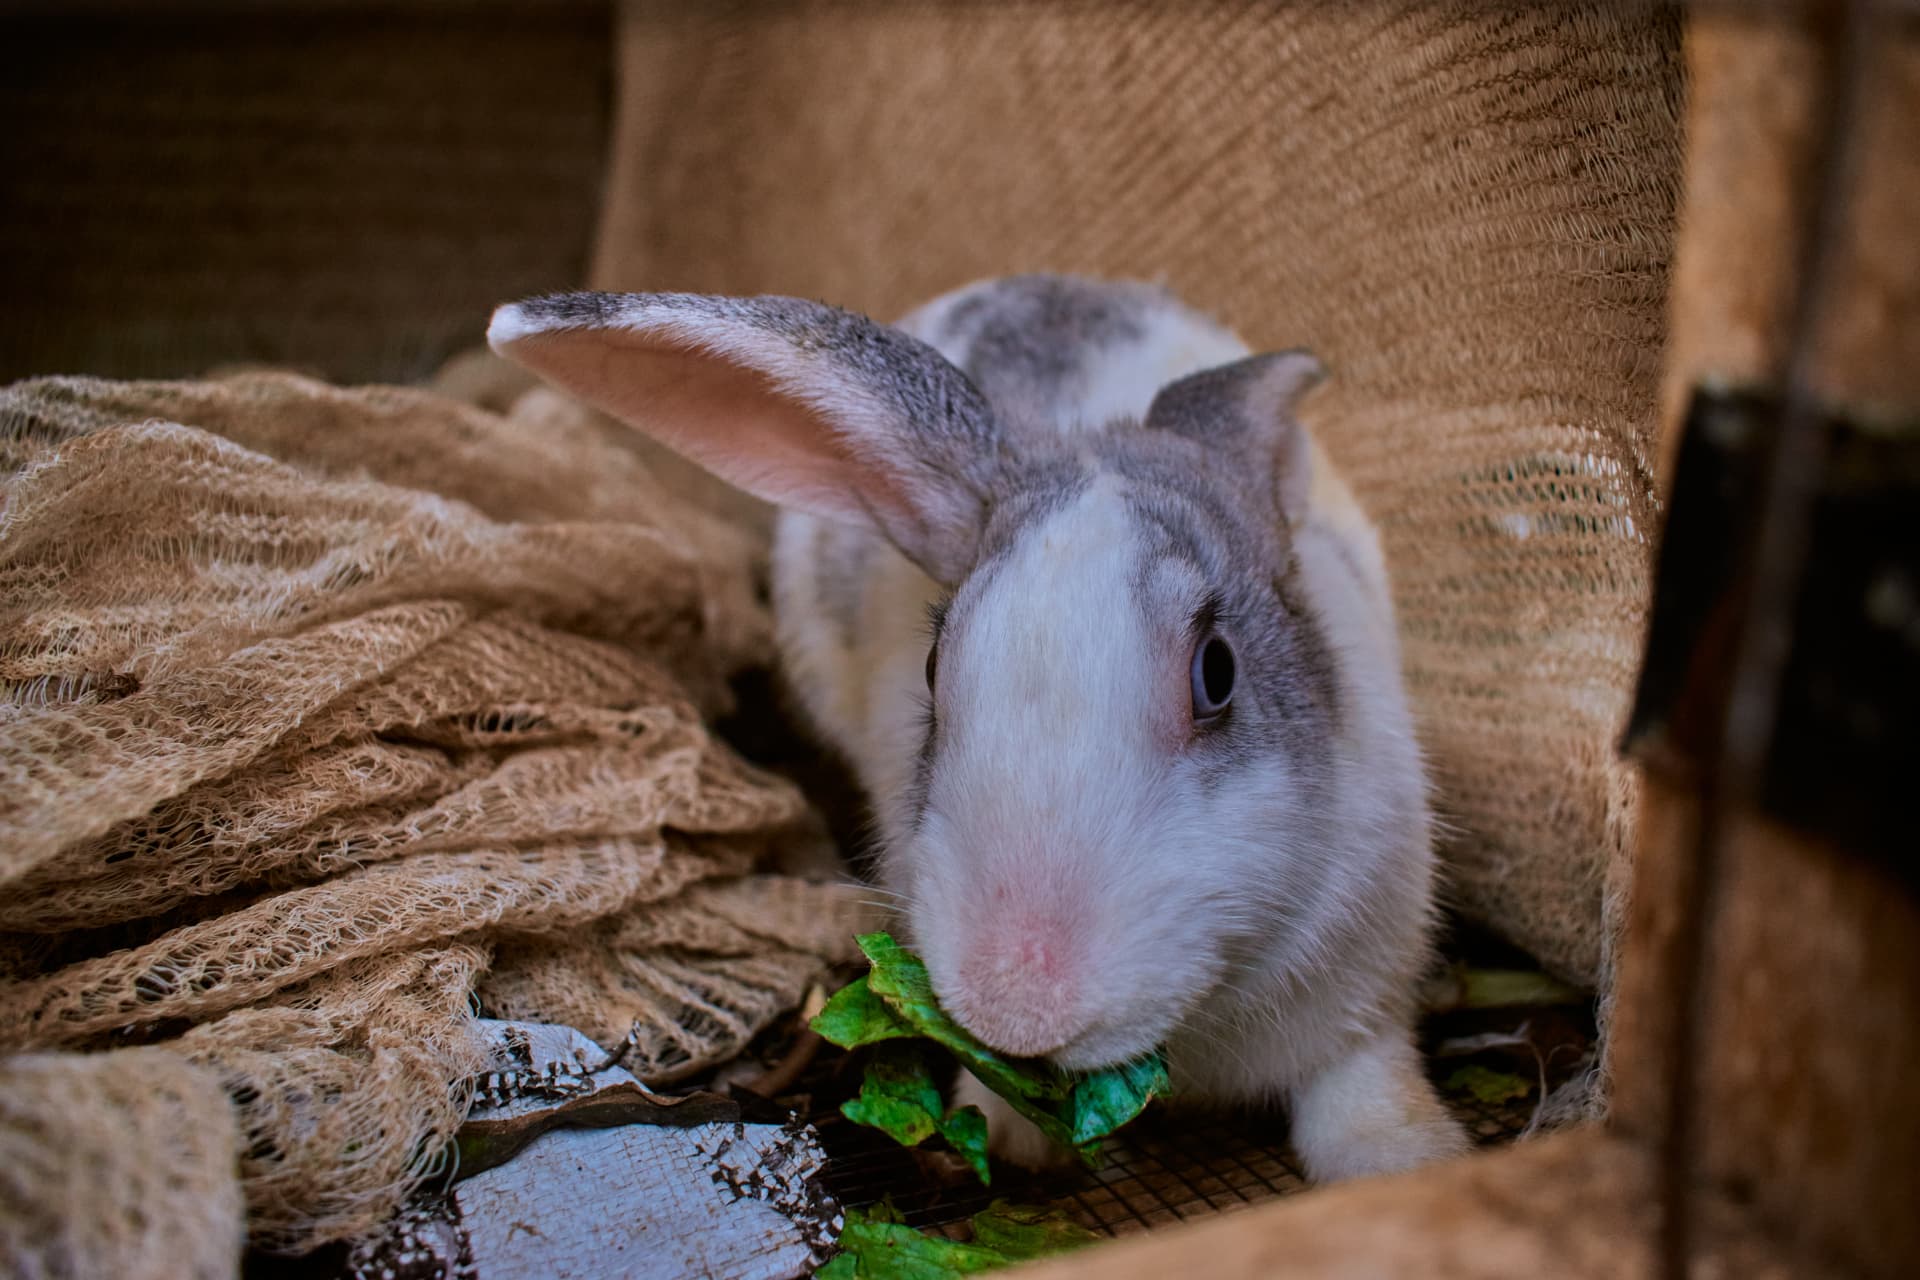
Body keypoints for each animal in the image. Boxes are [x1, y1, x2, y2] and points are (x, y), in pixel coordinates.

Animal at [487, 274, 1468, 1183]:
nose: (1017, 1006)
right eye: (933, 669)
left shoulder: (1364, 996)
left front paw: (1407, 1160)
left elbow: (1360, 1084)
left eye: (1218, 672)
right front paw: (1002, 1135)